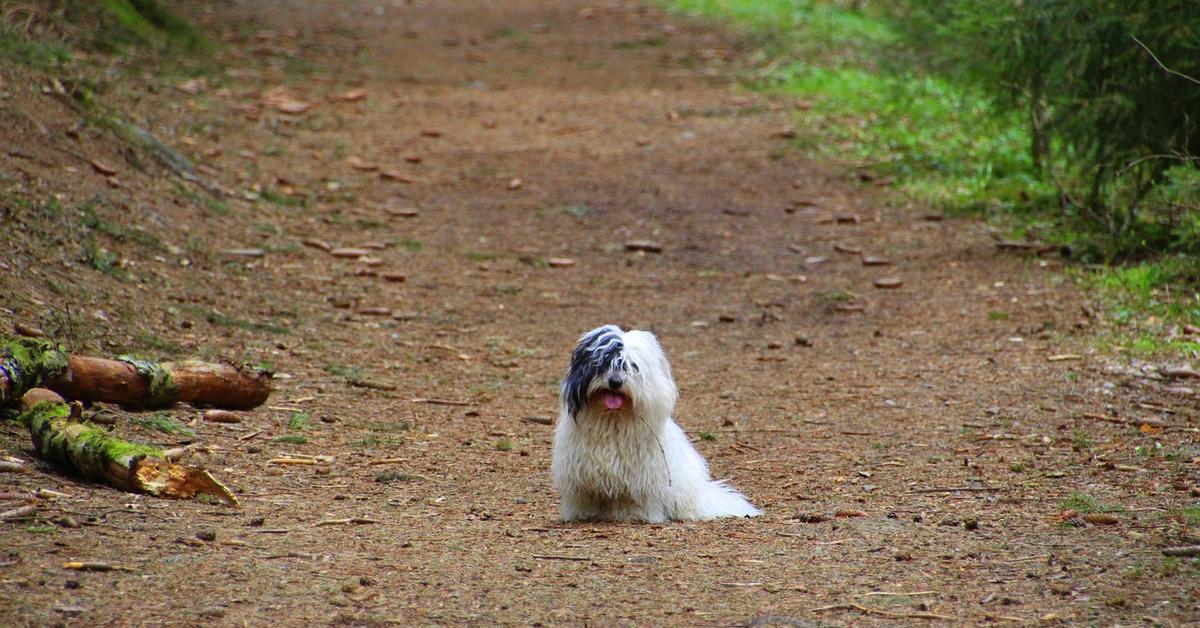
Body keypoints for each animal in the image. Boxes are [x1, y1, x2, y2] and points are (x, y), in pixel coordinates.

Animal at [547, 326, 753, 523]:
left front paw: (631, 514)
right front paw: (583, 513)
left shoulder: (640, 477)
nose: (615, 382)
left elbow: (632, 498)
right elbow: (585, 497)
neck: (614, 418)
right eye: (603, 363)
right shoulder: (580, 472)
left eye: (632, 366)